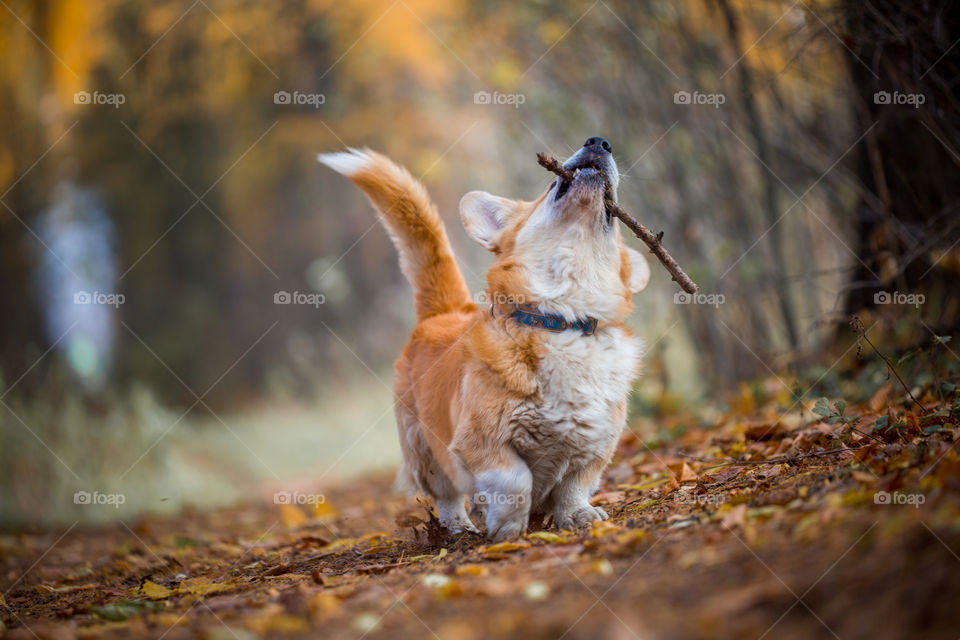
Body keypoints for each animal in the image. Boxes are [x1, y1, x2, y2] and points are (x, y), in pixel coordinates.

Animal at [318, 138, 648, 536]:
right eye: (546, 188)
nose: (598, 142)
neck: (562, 319)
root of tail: (445, 311)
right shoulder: (481, 441)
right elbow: (515, 480)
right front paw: (507, 526)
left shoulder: (596, 446)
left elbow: (575, 485)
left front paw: (577, 515)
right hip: (425, 451)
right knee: (446, 495)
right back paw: (460, 526)